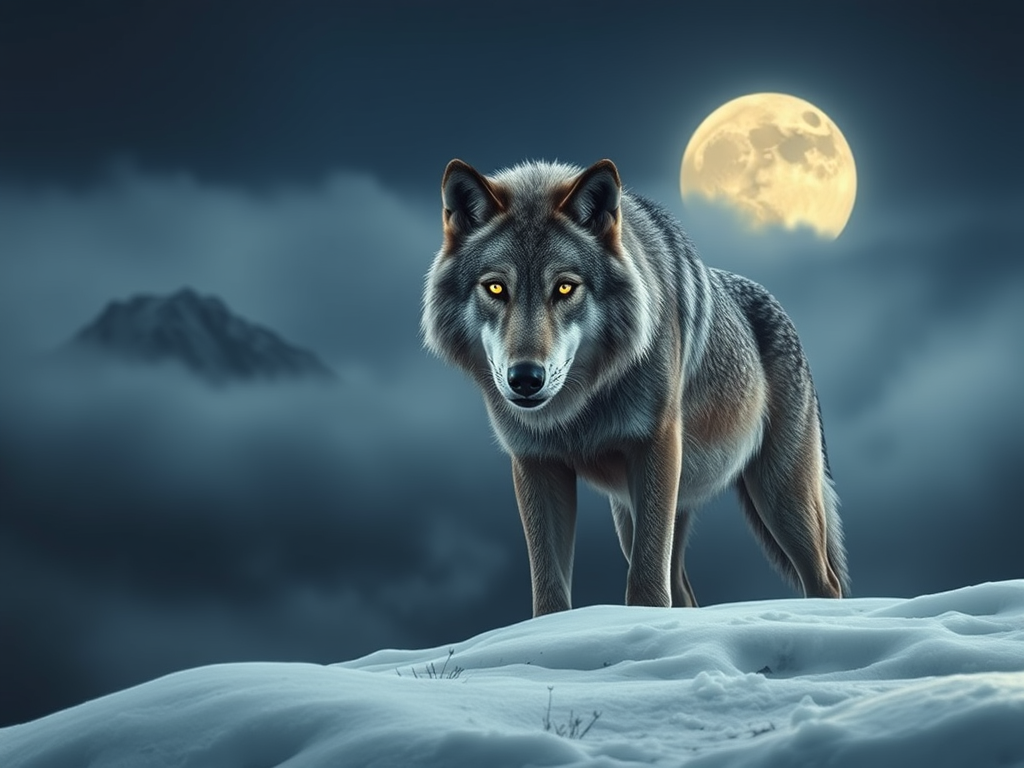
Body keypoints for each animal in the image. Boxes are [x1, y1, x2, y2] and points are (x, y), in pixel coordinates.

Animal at [421, 158, 848, 616]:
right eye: (496, 287)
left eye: (565, 287)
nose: (525, 379)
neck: (581, 407)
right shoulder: (535, 462)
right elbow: (549, 592)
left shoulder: (656, 447)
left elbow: (645, 585)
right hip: (637, 511)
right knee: (685, 594)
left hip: (779, 495)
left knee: (825, 581)